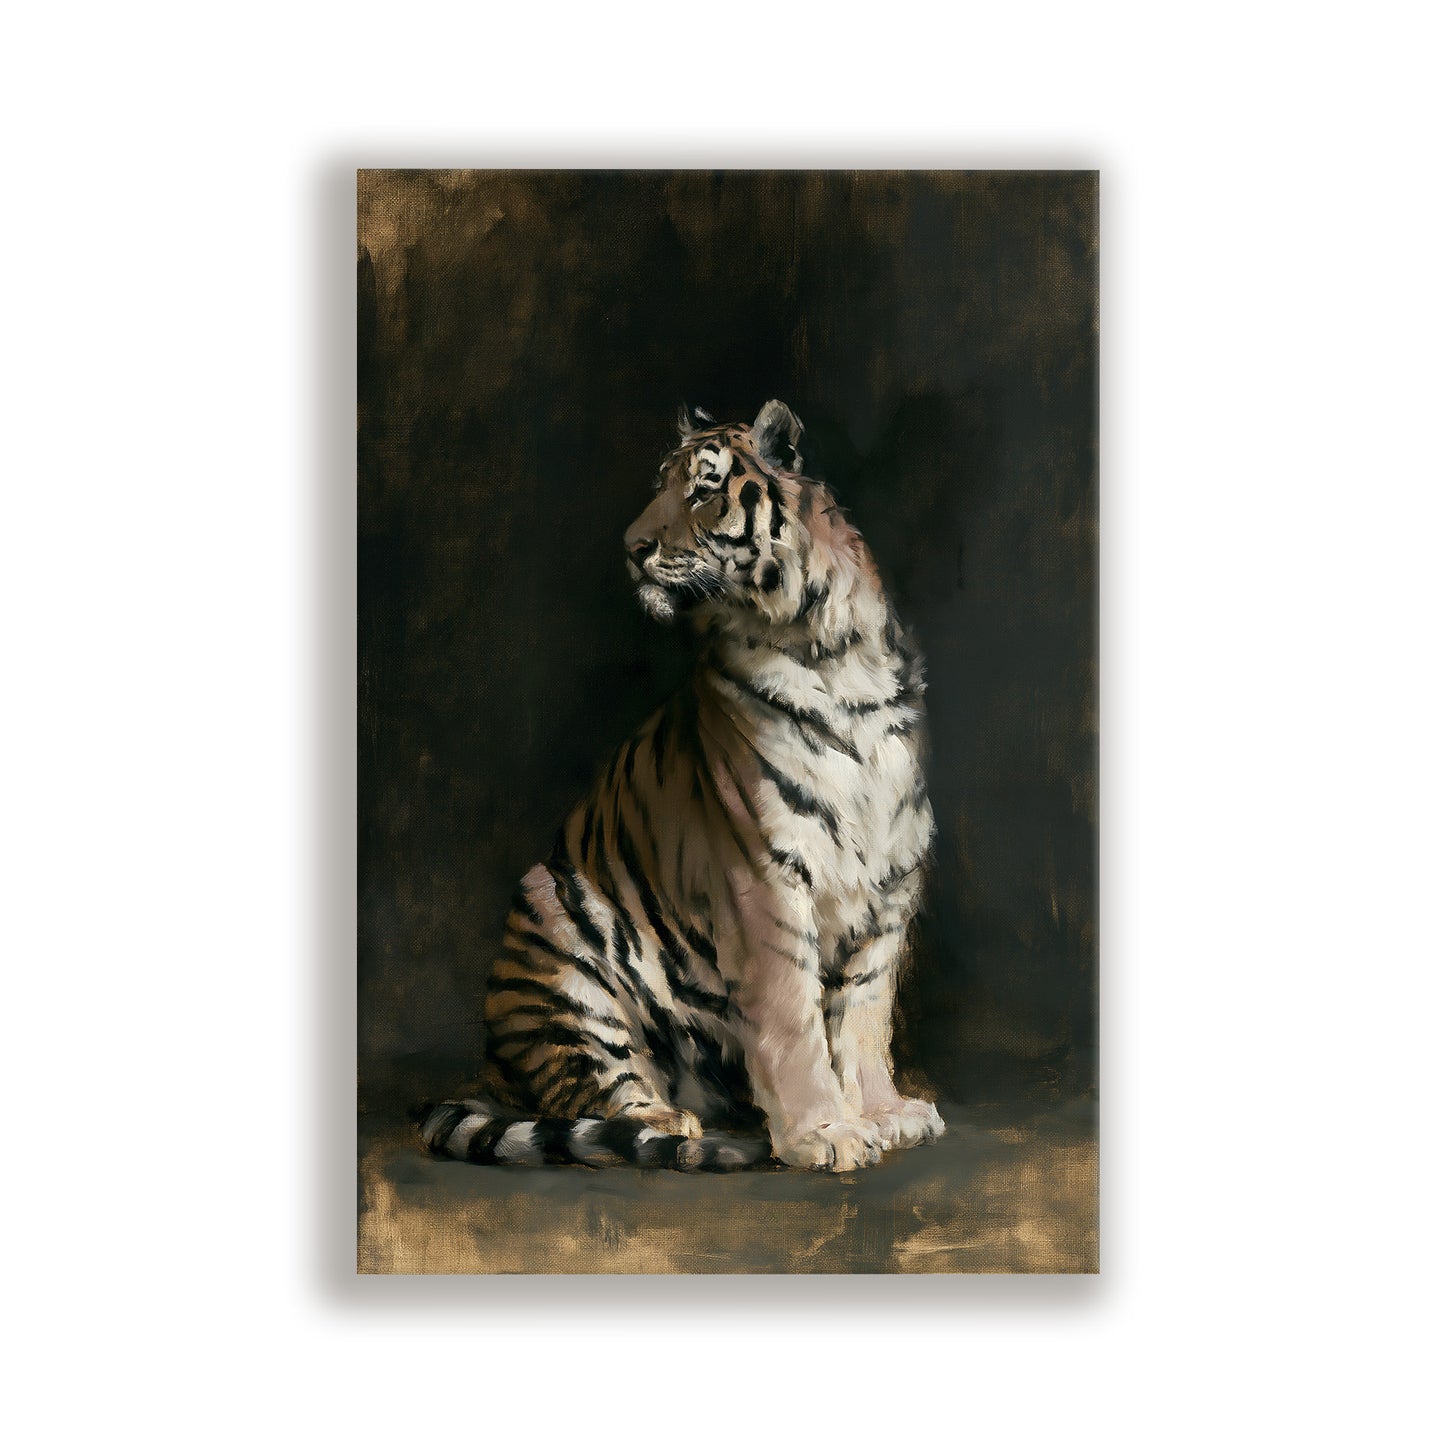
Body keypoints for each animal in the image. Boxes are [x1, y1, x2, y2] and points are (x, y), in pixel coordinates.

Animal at [419, 400, 944, 1172]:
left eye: (702, 489)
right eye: (660, 486)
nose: (631, 546)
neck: (830, 650)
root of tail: (490, 1074)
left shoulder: (889, 883)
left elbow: (864, 1017)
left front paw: (882, 1114)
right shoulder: (764, 879)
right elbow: (794, 1019)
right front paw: (825, 1133)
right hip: (555, 919)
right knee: (588, 1092)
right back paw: (672, 1126)